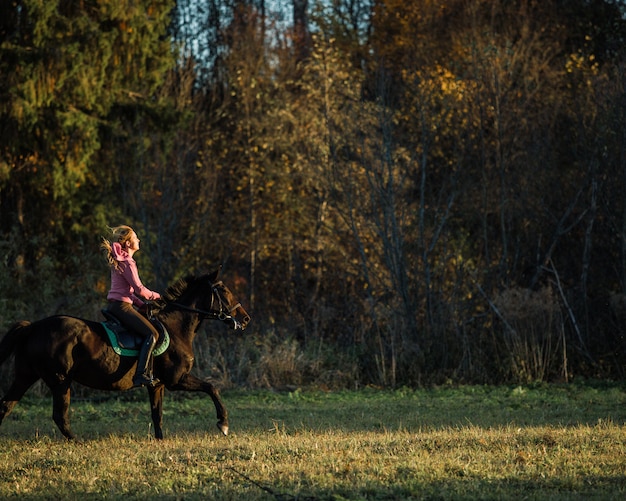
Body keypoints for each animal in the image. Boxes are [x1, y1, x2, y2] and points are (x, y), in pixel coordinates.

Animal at [0, 268, 249, 440]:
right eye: (224, 290)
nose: (245, 319)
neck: (177, 328)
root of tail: (33, 327)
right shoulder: (176, 380)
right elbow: (212, 387)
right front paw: (223, 423)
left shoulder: (157, 385)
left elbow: (157, 415)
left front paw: (160, 441)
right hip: (60, 380)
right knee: (60, 416)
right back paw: (78, 442)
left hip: (26, 375)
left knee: (6, 406)